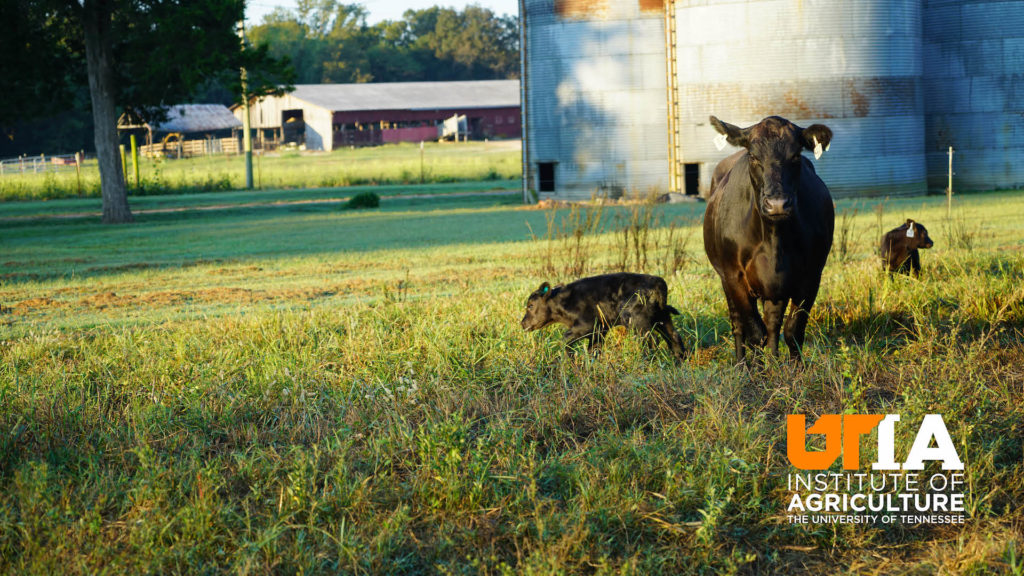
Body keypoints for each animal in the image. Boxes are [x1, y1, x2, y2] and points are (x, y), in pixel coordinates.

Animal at [524, 272, 684, 358]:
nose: (522, 323)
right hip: (662, 317)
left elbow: (565, 339)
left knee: (650, 340)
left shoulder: (586, 325)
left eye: (530, 306)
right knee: (673, 336)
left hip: (635, 320)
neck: (563, 301)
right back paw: (679, 361)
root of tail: (658, 282)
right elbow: (594, 349)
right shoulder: (599, 331)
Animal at [700, 113, 835, 360]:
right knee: (739, 325)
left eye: (796, 155)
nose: (777, 204)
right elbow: (754, 333)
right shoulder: (734, 277)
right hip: (726, 280)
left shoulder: (812, 275)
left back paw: (773, 359)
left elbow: (792, 331)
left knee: (773, 324)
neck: (774, 237)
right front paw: (756, 370)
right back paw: (741, 363)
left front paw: (794, 368)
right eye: (753, 156)